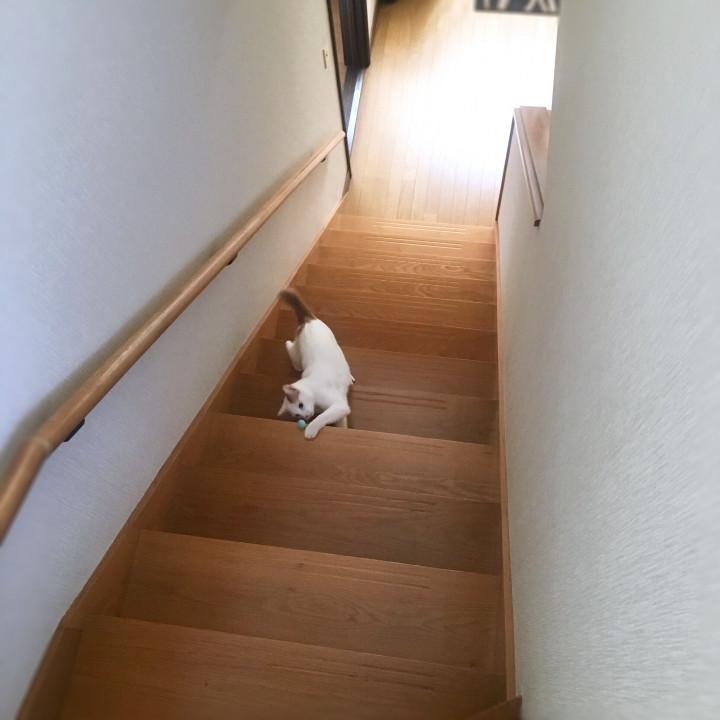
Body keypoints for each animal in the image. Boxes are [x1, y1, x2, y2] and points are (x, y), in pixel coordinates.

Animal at [276, 288, 354, 440]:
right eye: (297, 415)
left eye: (300, 405)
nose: (306, 417)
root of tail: (307, 320)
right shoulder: (341, 408)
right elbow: (339, 420)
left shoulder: (339, 405)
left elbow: (323, 417)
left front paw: (310, 429)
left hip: (299, 353)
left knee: (289, 345)